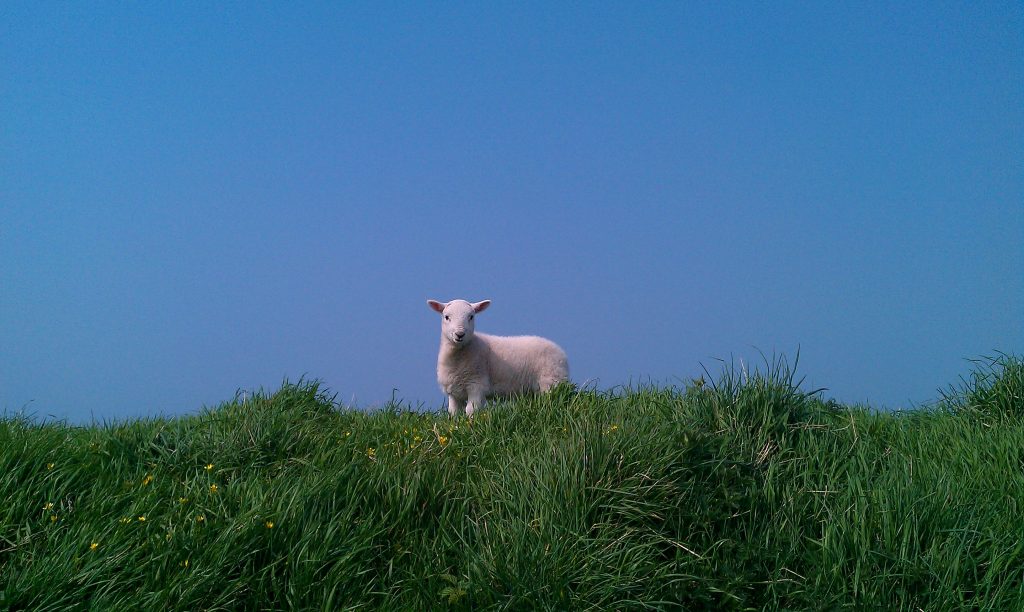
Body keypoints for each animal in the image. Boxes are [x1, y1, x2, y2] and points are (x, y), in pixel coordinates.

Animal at [423, 300, 569, 419]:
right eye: (446, 317)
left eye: (471, 316)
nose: (460, 334)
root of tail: (561, 352)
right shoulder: (453, 393)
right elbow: (453, 413)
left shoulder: (477, 385)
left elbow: (471, 410)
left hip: (551, 382)